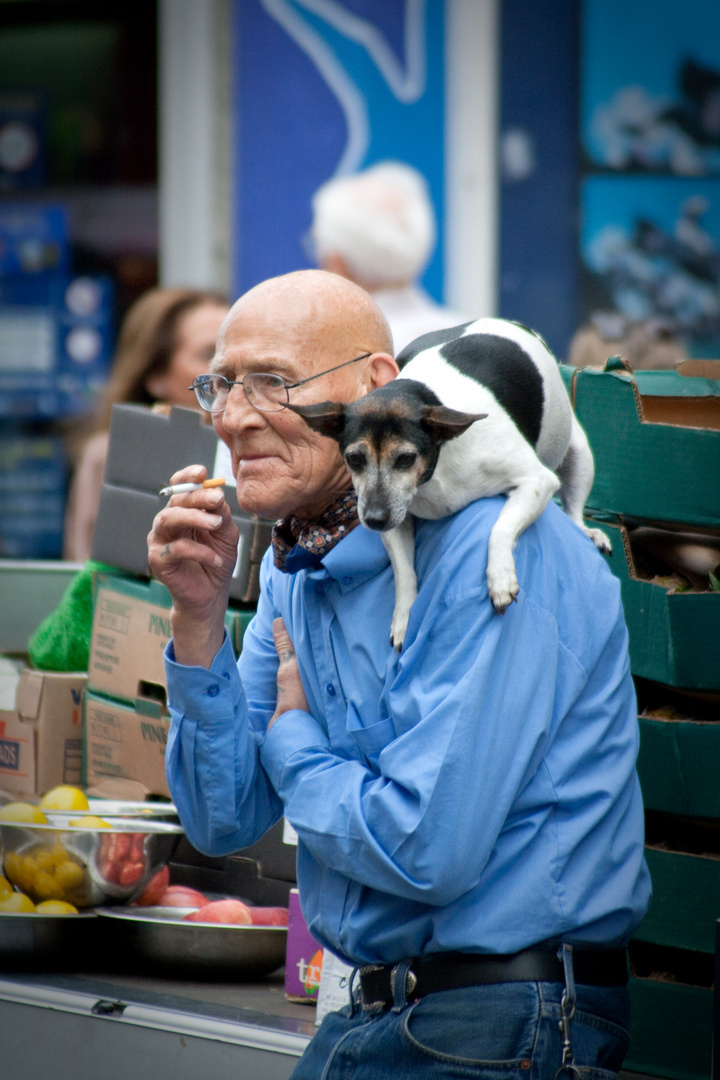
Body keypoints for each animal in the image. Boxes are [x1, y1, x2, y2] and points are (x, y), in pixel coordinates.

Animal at [289, 315, 608, 643]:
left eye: (406, 459)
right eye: (354, 459)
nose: (374, 520)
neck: (435, 470)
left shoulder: (537, 481)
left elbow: (499, 529)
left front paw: (500, 577)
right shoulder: (396, 521)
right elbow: (404, 572)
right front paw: (404, 615)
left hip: (579, 458)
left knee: (573, 512)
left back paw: (588, 531)